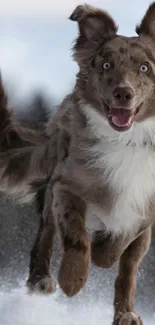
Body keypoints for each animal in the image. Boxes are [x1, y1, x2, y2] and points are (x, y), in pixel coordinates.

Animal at [0, 3, 155, 324]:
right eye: (106, 65)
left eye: (145, 67)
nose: (123, 93)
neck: (128, 141)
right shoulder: (66, 186)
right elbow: (75, 235)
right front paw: (72, 279)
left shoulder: (145, 211)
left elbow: (121, 249)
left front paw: (104, 252)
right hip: (51, 186)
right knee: (46, 233)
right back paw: (42, 281)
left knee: (128, 270)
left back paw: (126, 313)